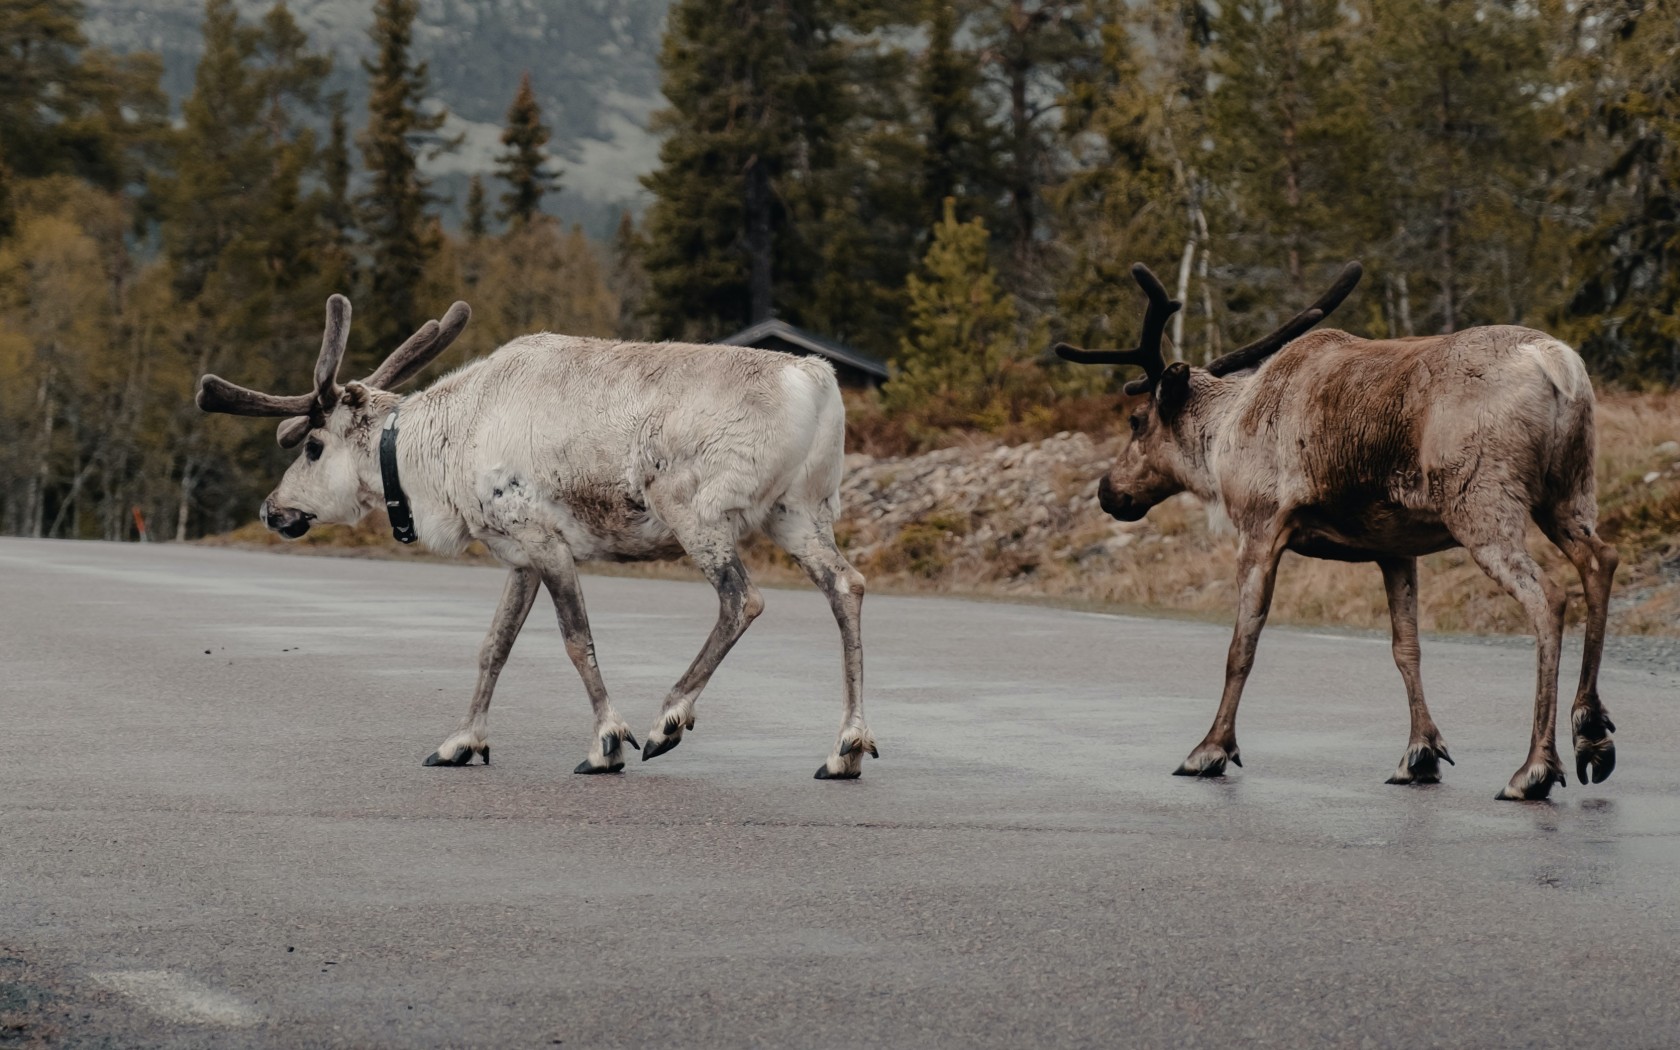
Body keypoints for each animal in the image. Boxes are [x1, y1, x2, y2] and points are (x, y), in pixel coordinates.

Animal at [195, 296, 877, 780]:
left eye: (312, 446)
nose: (271, 509)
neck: (439, 452)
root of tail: (819, 383)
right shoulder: (516, 555)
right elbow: (493, 647)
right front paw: (460, 742)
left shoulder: (543, 538)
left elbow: (577, 641)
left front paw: (607, 743)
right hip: (799, 511)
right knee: (847, 585)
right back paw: (846, 747)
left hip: (697, 512)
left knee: (743, 599)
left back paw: (668, 720)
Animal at [1055, 263, 1618, 801]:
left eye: (1136, 420)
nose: (1108, 492)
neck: (1224, 437)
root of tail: (1558, 365)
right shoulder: (1395, 547)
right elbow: (1406, 648)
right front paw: (1419, 753)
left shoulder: (1260, 526)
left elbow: (1242, 646)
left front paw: (1210, 749)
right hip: (1568, 493)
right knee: (1600, 560)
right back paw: (1591, 733)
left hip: (1482, 503)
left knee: (1549, 596)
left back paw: (1534, 769)